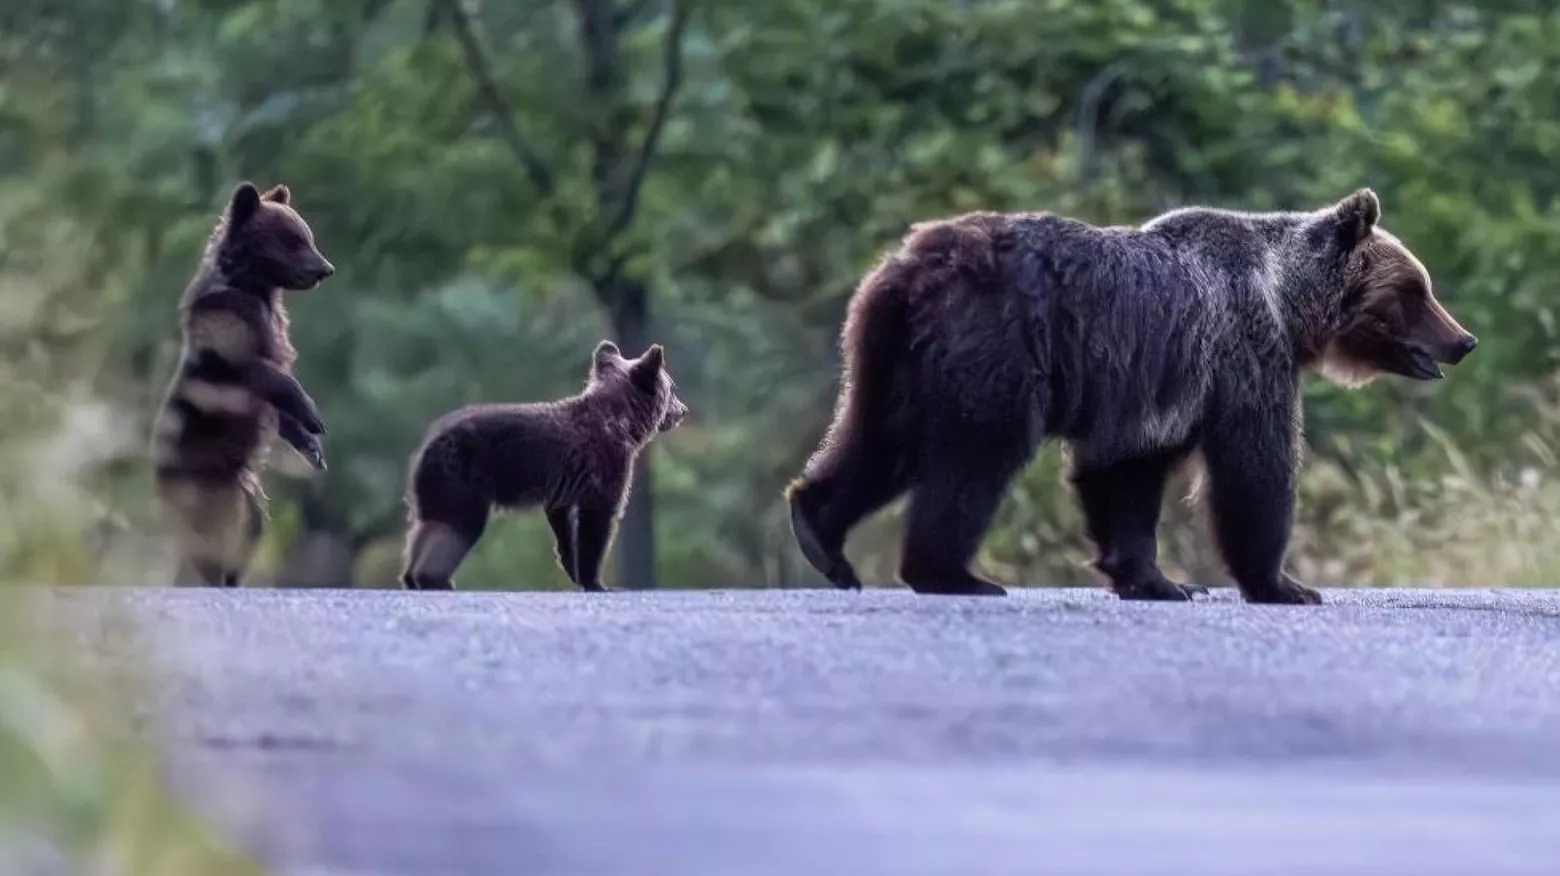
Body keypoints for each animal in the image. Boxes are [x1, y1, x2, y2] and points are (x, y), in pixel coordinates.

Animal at [792, 189, 1472, 598]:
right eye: (1415, 290)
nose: (1463, 340)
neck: (1287, 302)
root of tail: (910, 266)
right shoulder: (1243, 354)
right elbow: (1254, 468)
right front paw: (1284, 584)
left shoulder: (1161, 391)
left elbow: (1127, 475)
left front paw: (1160, 580)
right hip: (994, 346)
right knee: (975, 457)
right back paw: (953, 574)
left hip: (893, 357)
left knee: (880, 440)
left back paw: (821, 537)